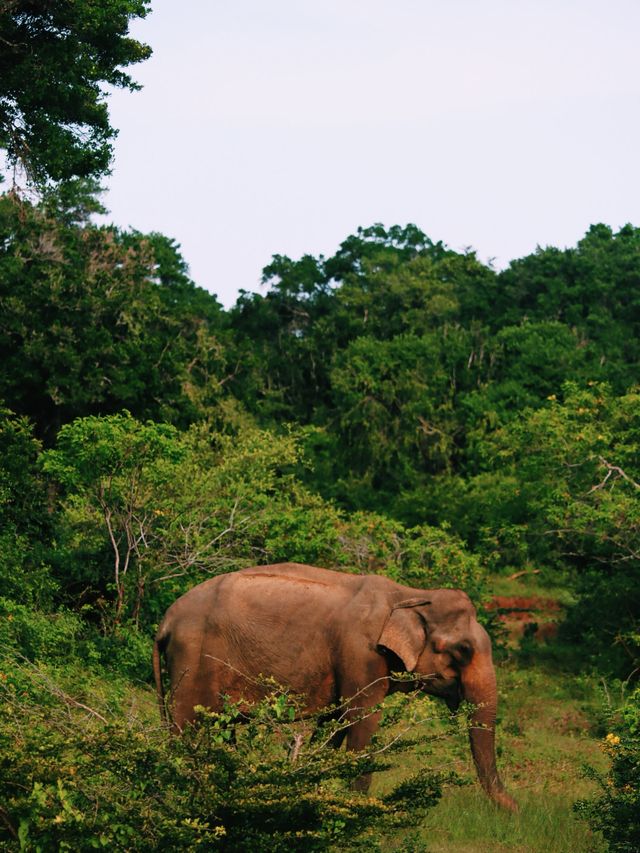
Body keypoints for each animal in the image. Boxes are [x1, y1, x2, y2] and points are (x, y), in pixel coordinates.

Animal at [152, 564, 516, 808]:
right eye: (463, 650)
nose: (515, 811)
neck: (412, 594)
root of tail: (165, 622)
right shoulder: (361, 653)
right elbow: (362, 719)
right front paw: (355, 805)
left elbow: (335, 721)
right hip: (191, 658)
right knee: (185, 726)